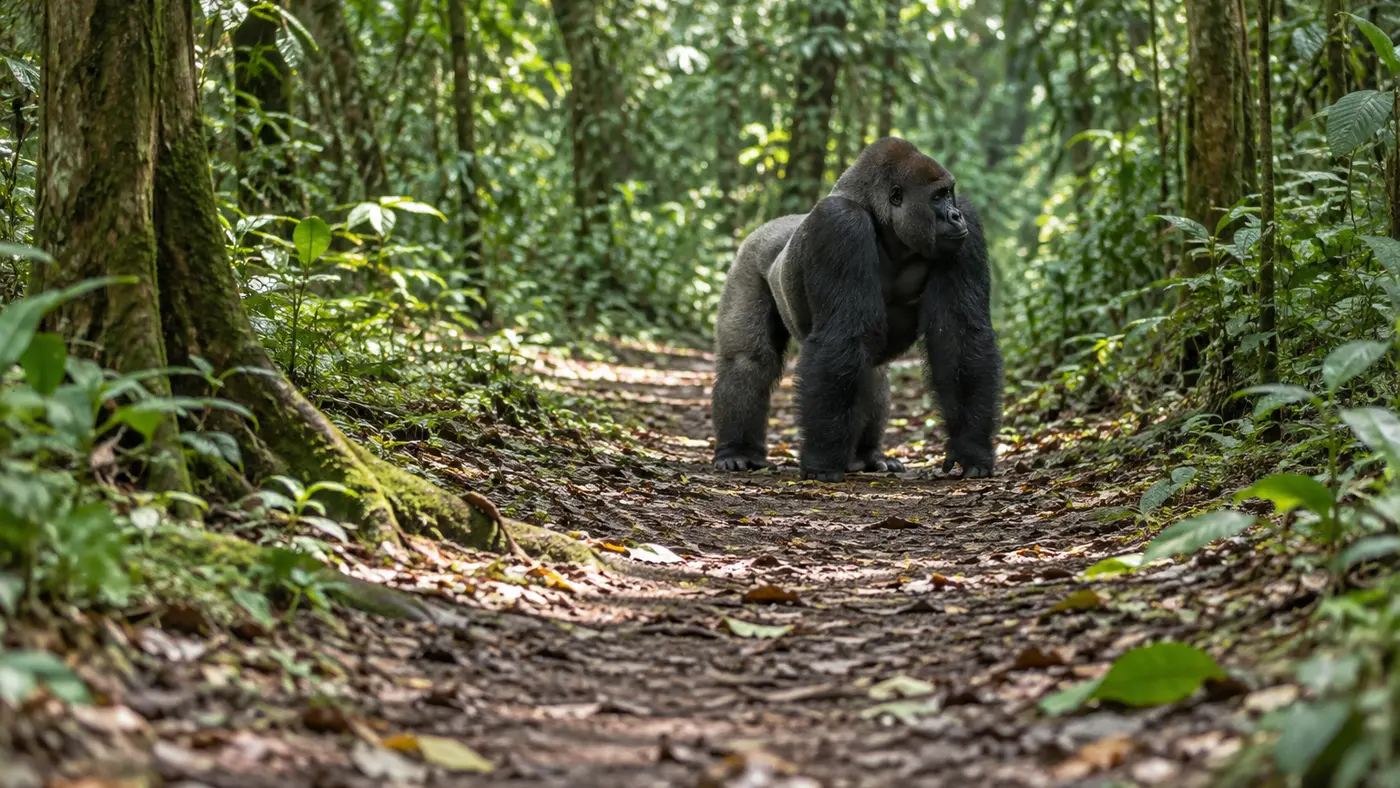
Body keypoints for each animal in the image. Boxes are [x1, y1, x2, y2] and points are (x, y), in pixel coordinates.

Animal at [710, 137, 1001, 482]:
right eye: (936, 197)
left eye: (950, 194)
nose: (955, 216)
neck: (885, 224)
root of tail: (774, 223)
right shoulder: (840, 224)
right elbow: (842, 337)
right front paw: (822, 460)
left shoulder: (967, 228)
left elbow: (959, 334)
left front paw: (970, 448)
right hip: (749, 256)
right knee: (748, 360)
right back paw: (738, 450)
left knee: (872, 371)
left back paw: (866, 455)